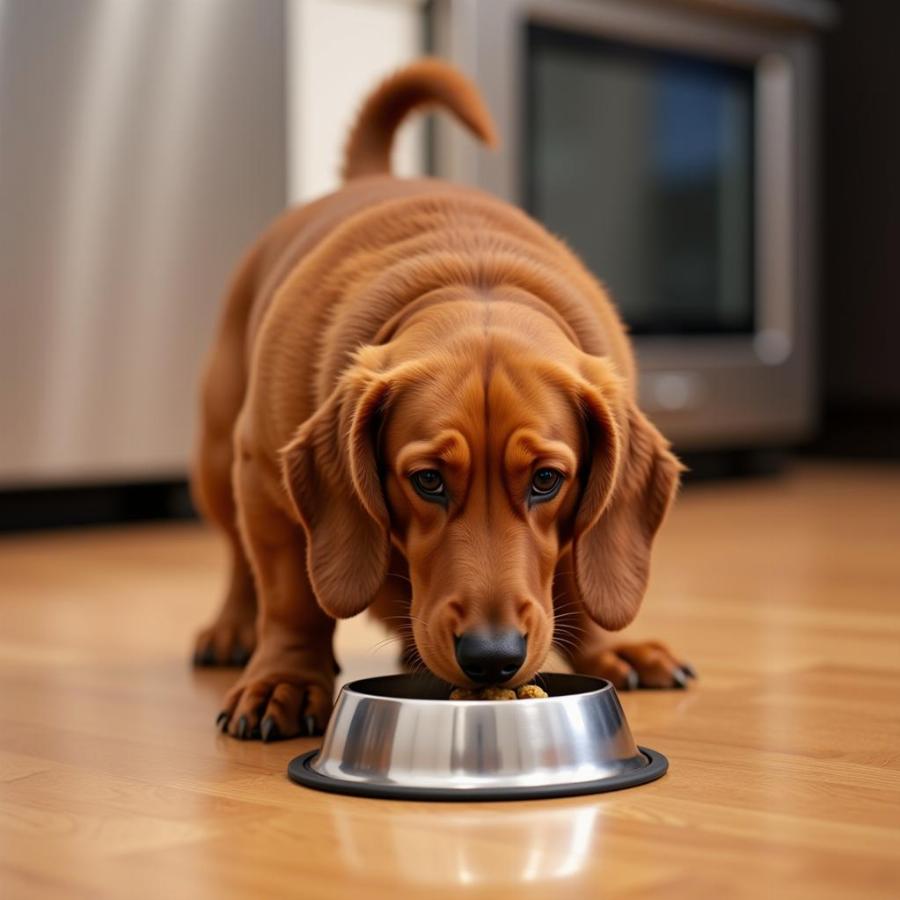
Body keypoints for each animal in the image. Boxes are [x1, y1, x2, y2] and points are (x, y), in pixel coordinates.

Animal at [193, 59, 688, 740]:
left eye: (547, 480)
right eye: (427, 480)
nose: (492, 657)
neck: (472, 275)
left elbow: (577, 572)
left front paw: (609, 646)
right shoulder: (265, 479)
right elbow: (291, 595)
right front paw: (285, 677)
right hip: (221, 461)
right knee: (241, 562)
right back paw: (237, 626)